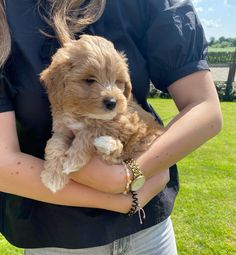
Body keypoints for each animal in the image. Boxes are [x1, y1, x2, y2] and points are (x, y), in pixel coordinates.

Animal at [40, 34, 163, 192]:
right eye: (89, 79)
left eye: (118, 81)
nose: (112, 102)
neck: (82, 112)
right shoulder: (62, 128)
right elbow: (54, 144)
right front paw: (53, 176)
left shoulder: (129, 124)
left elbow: (93, 130)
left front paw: (72, 160)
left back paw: (106, 144)